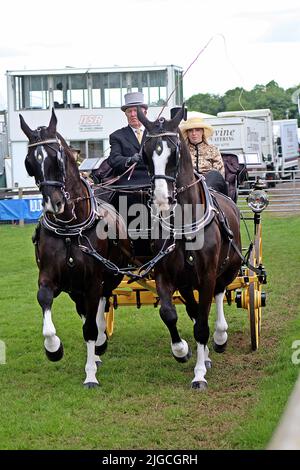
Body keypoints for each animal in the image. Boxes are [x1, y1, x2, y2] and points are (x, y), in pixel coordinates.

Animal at [20, 109, 128, 386]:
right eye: (30, 162)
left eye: (58, 158)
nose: (53, 204)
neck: (70, 228)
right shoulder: (49, 277)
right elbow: (45, 300)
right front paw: (53, 348)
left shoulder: (93, 281)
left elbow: (90, 326)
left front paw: (90, 374)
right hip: (75, 287)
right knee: (86, 310)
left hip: (107, 278)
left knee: (100, 305)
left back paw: (100, 343)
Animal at [138, 105, 241, 390]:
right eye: (145, 153)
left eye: (174, 153)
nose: (161, 199)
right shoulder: (166, 275)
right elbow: (170, 313)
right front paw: (181, 350)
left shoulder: (206, 276)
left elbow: (203, 325)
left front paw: (199, 375)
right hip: (186, 283)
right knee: (195, 311)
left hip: (228, 269)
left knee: (218, 295)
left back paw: (220, 338)